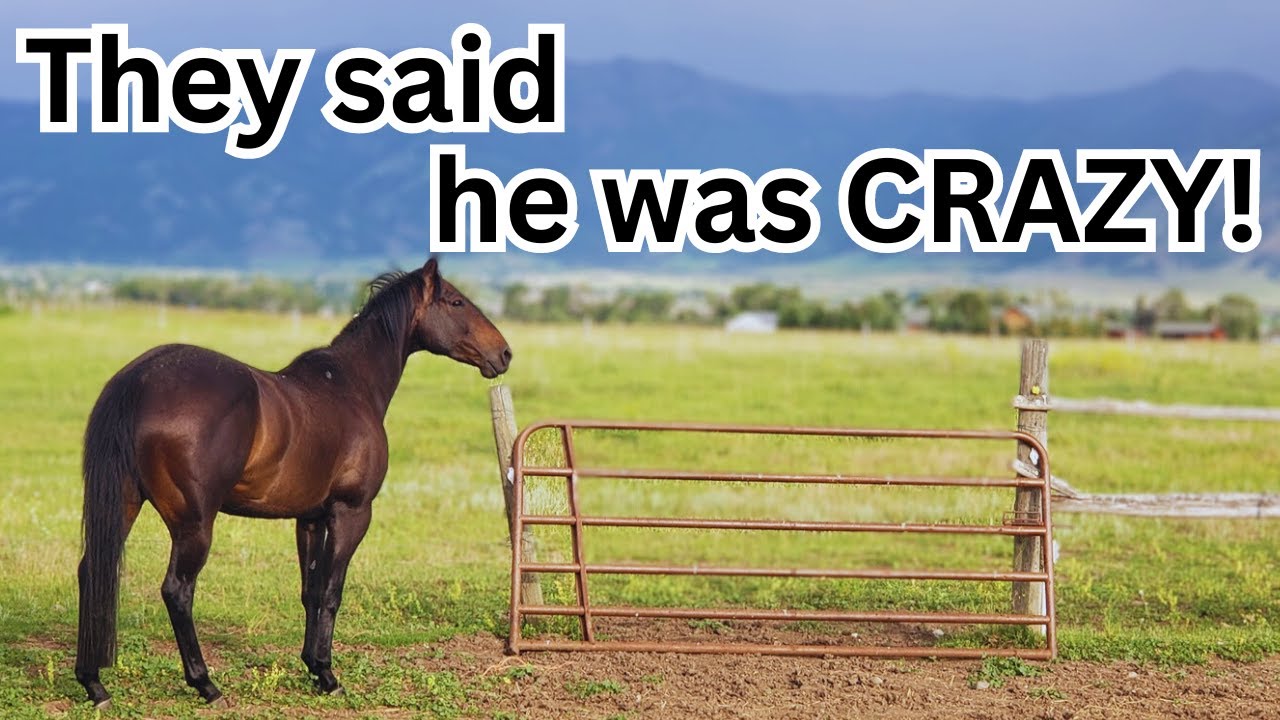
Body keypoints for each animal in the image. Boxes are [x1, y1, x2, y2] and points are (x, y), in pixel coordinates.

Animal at [74, 258, 511, 709]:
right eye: (456, 301)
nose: (504, 353)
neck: (351, 387)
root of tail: (139, 380)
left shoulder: (310, 518)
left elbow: (311, 591)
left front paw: (312, 667)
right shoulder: (351, 513)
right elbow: (332, 592)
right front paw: (328, 674)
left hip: (125, 503)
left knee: (91, 571)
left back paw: (94, 683)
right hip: (194, 524)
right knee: (177, 590)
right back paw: (205, 684)